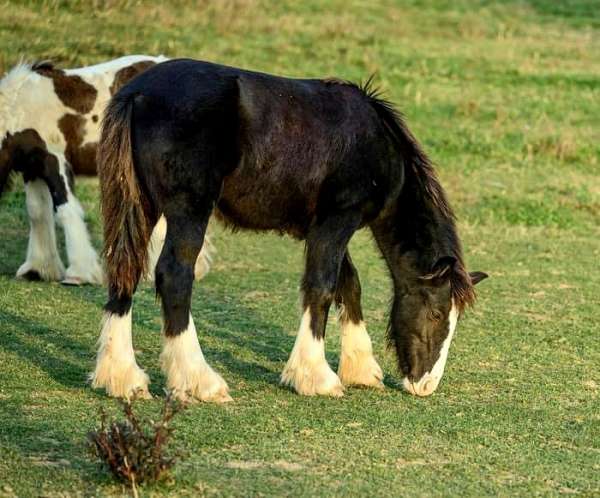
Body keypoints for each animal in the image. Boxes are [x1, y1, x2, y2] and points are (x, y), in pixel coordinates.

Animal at [0, 54, 213, 284]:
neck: (19, 108)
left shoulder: (55, 160)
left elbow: (66, 210)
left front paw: (79, 273)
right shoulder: (32, 168)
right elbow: (37, 212)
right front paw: (38, 269)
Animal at [90, 59, 488, 400]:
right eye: (436, 313)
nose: (425, 385)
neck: (376, 142)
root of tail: (137, 93)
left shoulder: (321, 228)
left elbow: (349, 284)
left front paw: (360, 369)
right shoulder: (337, 222)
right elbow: (322, 287)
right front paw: (316, 376)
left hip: (142, 206)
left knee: (124, 270)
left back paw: (121, 378)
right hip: (189, 210)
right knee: (174, 276)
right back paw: (199, 381)